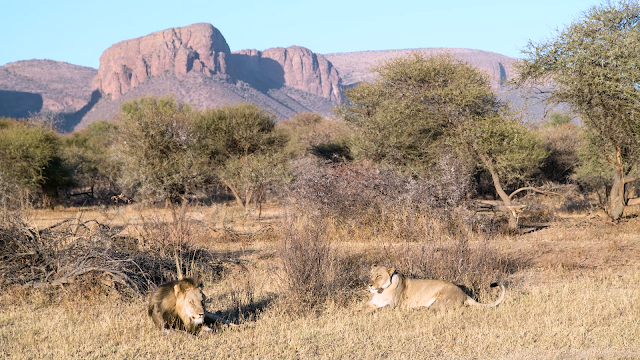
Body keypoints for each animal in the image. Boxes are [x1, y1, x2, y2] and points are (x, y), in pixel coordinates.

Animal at [364, 264, 504, 312]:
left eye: (378, 276)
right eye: (371, 275)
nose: (369, 284)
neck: (381, 291)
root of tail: (464, 293)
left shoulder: (392, 305)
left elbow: (378, 309)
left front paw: (369, 312)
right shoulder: (372, 302)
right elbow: (363, 307)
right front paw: (359, 312)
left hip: (440, 299)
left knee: (430, 310)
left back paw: (414, 310)